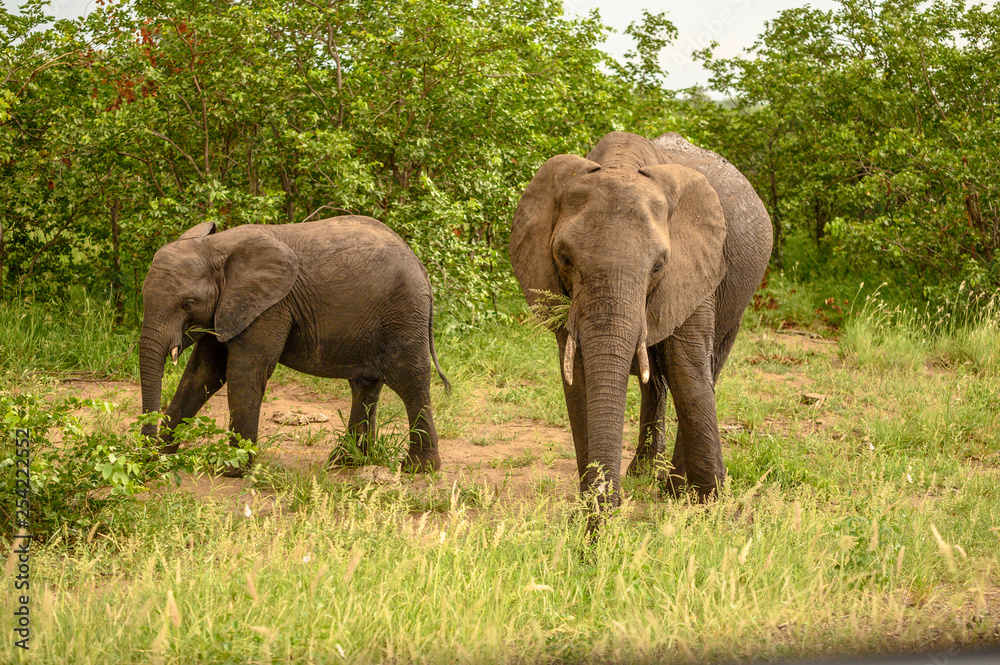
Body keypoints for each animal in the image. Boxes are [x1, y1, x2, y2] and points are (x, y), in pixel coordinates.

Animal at [138, 215, 450, 474]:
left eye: (188, 304)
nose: (142, 451)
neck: (216, 247)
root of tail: (421, 268)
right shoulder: (228, 307)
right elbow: (201, 375)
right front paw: (158, 460)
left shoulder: (269, 307)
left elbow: (244, 373)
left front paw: (232, 470)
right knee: (365, 385)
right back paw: (346, 461)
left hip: (404, 314)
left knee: (410, 381)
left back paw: (418, 469)